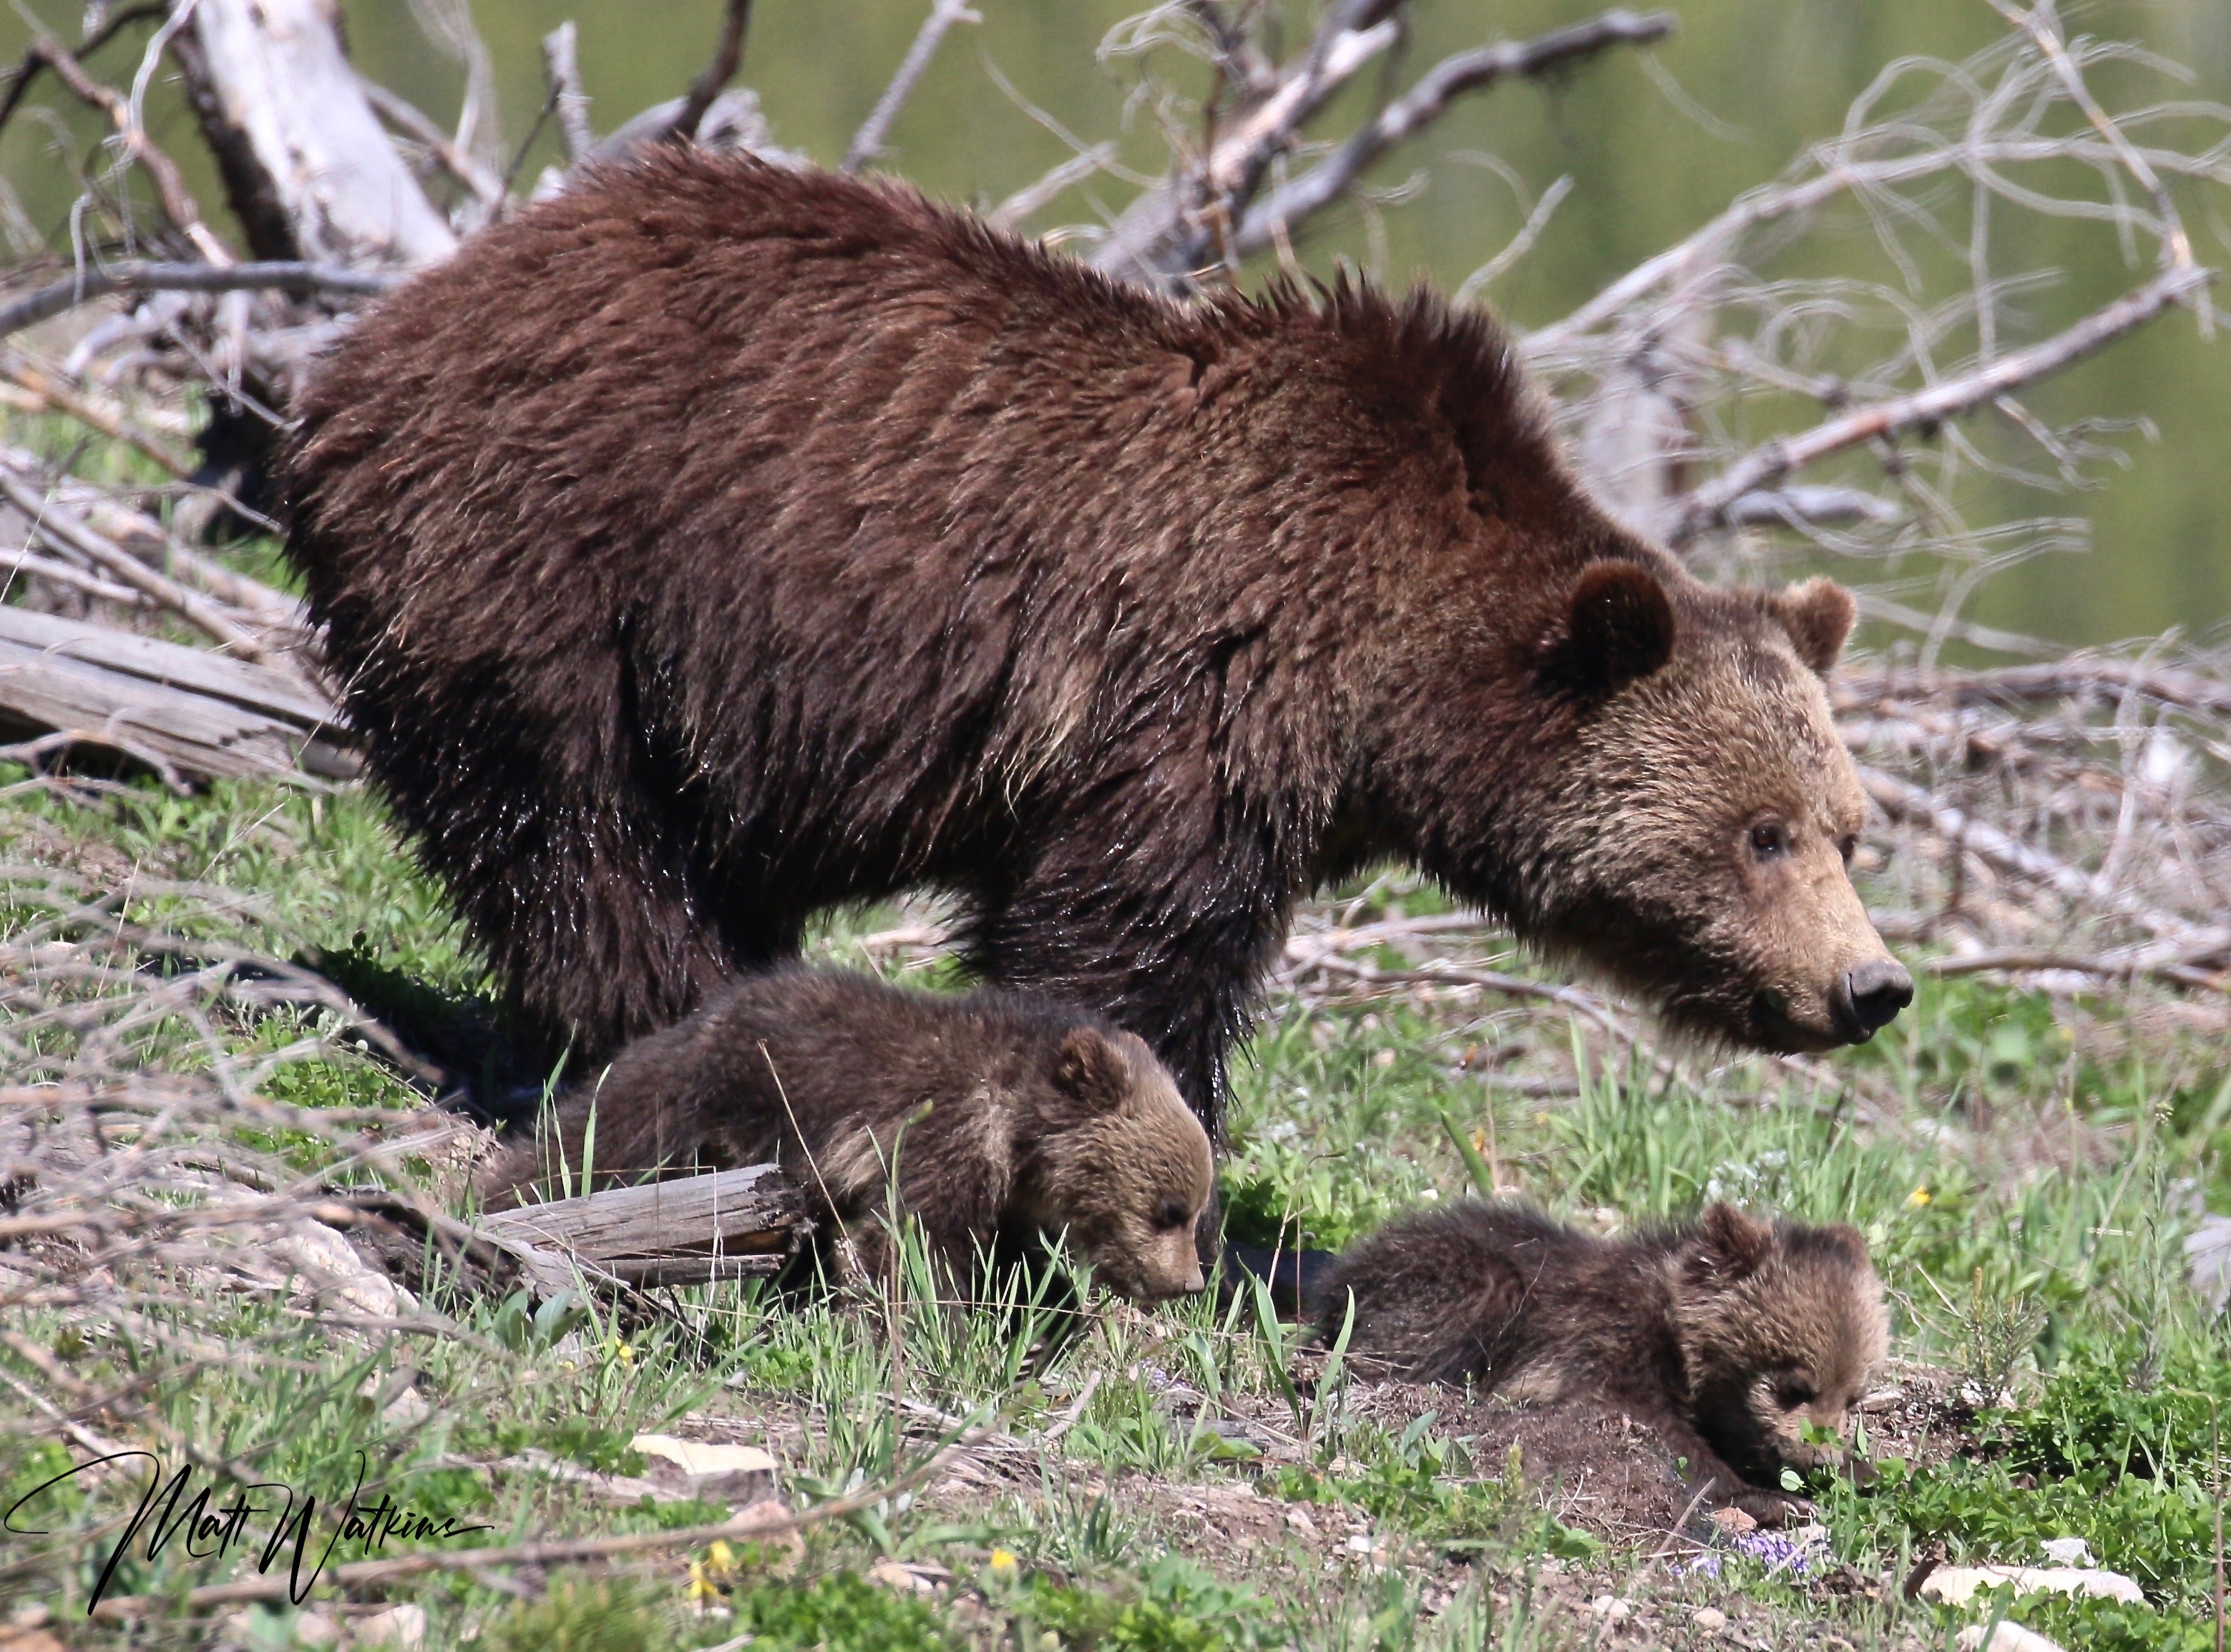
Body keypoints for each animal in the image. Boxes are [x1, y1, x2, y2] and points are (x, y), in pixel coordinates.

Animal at [288, 151, 1910, 1132]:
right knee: (576, 834)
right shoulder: (1197, 698)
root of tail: (361, 342)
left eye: (1847, 829)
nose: (1871, 984)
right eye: (1759, 833)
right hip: (553, 567)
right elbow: (1118, 939)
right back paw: (678, 1026)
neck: (1387, 681)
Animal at [477, 967, 1214, 1301]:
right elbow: (914, 1240)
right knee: (592, 1144)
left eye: (1193, 1208)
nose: (1189, 1283)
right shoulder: (936, 1136)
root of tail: (705, 1015)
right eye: (1169, 1208)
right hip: (721, 1103)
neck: (1017, 1131)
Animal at [1312, 1195, 1892, 1525]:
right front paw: (1770, 1498)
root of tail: (1342, 1272)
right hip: (1466, 1279)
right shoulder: (1599, 1342)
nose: (1818, 1457)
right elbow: (1658, 1430)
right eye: (1792, 1386)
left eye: (1853, 1397)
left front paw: (1859, 1469)